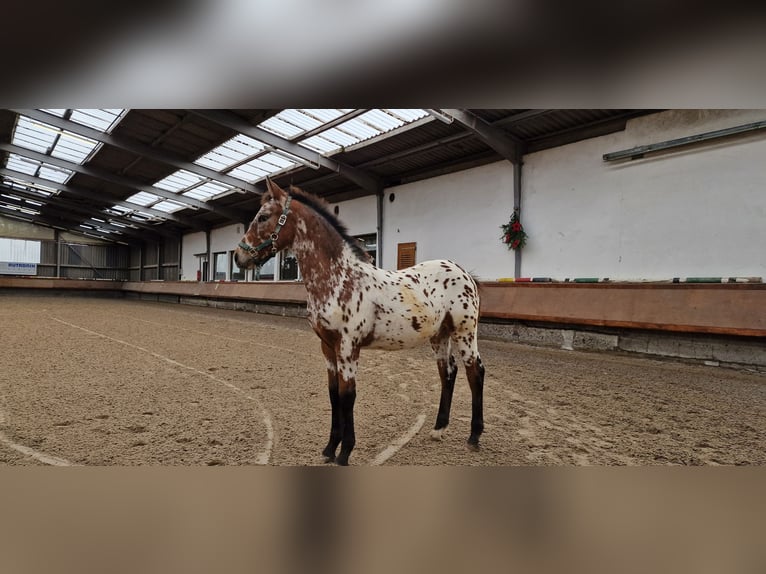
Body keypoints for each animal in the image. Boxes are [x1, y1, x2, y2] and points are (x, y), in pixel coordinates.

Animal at [234, 180, 486, 468]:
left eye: (263, 217)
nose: (238, 257)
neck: (340, 278)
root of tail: (464, 272)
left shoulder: (348, 347)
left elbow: (348, 396)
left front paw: (345, 453)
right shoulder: (328, 347)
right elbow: (333, 394)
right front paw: (329, 448)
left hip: (465, 332)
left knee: (475, 372)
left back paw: (474, 436)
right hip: (439, 335)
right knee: (448, 372)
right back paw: (438, 429)